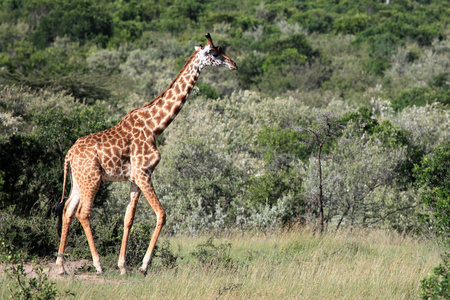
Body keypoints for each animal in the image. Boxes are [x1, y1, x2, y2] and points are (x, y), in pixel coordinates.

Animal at [55, 34, 237, 276]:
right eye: (215, 53)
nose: (234, 64)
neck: (155, 127)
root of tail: (69, 154)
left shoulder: (135, 178)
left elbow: (128, 218)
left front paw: (123, 266)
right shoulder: (144, 173)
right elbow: (162, 214)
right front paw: (143, 265)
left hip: (79, 180)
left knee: (67, 210)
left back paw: (61, 265)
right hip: (92, 178)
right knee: (83, 213)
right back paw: (98, 265)